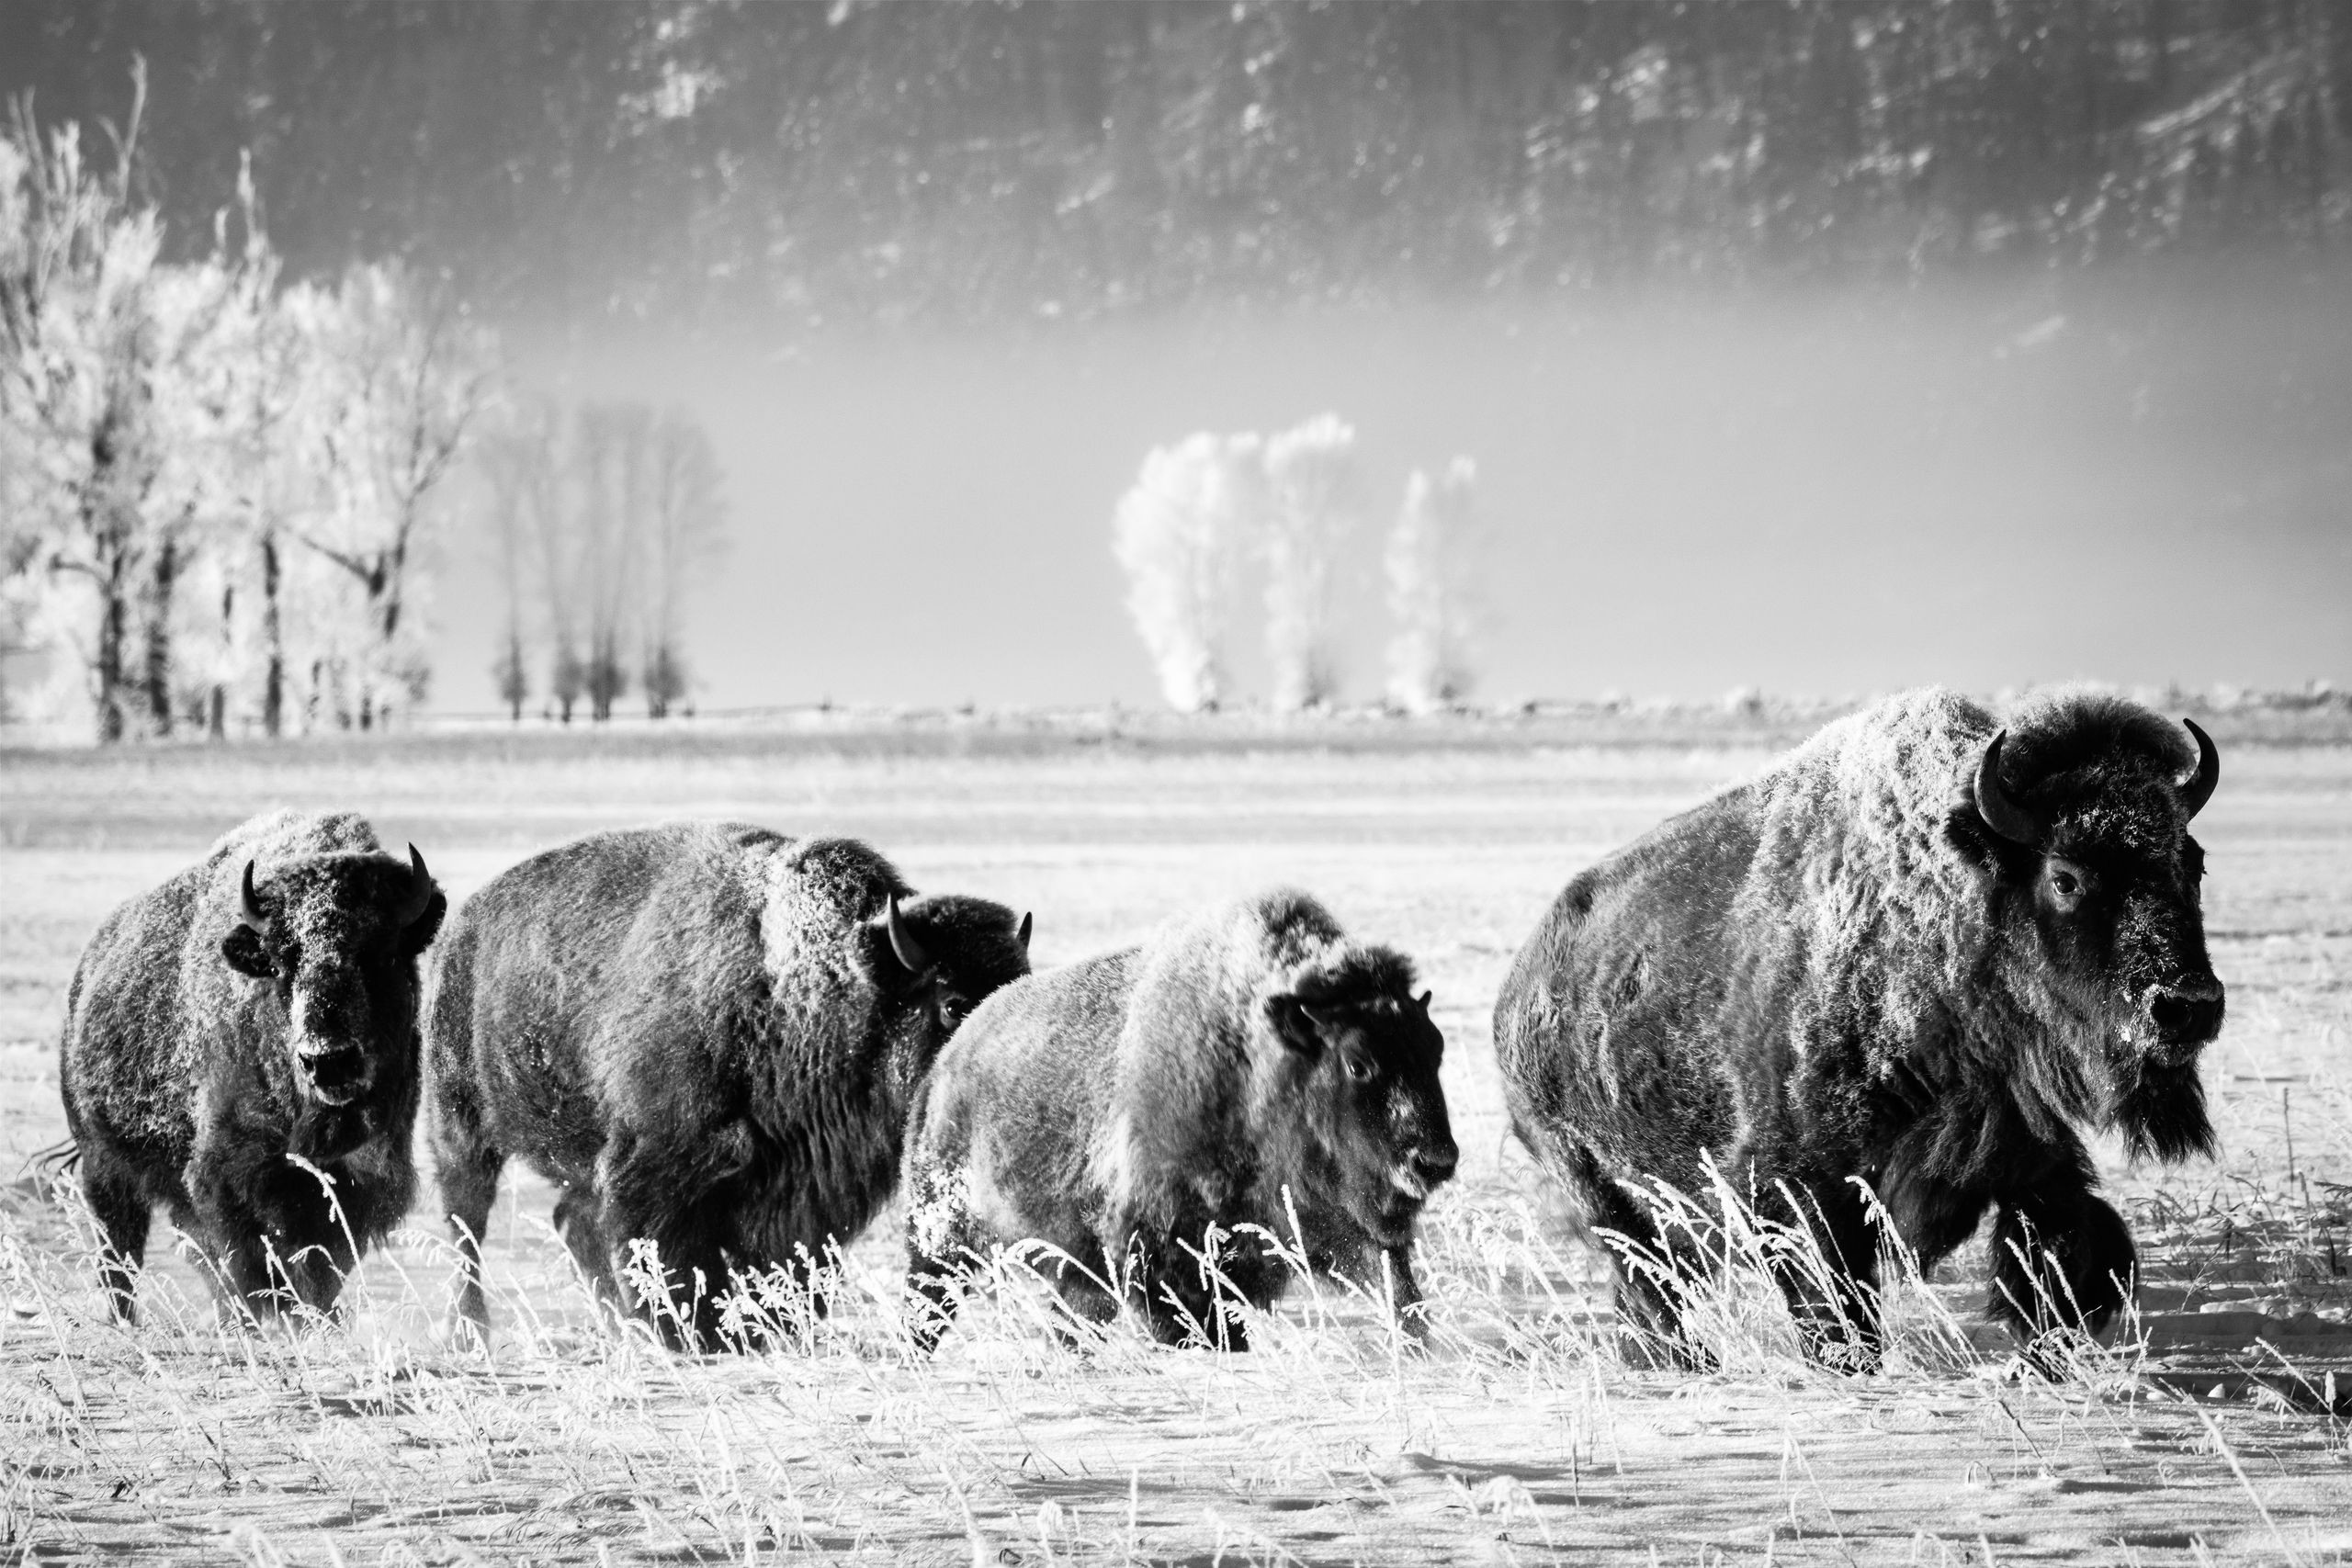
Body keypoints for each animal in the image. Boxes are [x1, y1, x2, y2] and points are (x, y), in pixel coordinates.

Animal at [57, 818, 451, 1316]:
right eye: (281, 964)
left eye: (384, 954)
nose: (328, 1059)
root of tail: (87, 972)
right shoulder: (229, 1182)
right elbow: (249, 1265)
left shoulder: (358, 1185)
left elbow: (319, 1271)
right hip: (104, 1168)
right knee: (120, 1257)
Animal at [423, 822, 1030, 1354]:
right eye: (952, 1004)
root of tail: (462, 929)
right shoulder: (659, 1172)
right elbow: (671, 1259)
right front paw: (694, 1337)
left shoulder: (804, 1195)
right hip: (460, 1129)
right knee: (467, 1228)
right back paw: (469, 1335)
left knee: (570, 1223)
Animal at [908, 888, 1458, 1354]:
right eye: (1357, 1062)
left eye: (1435, 1050)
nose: (1435, 1161)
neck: (1257, 1067)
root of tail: (949, 1062)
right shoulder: (1165, 1260)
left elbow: (1400, 1295)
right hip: (943, 1237)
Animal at [1486, 691, 2220, 1363]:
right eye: (2065, 876)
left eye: (2192, 862)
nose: (2187, 1004)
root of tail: (1517, 992)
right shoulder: (1806, 1184)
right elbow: (1834, 1297)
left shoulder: (2019, 1140)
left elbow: (2061, 1239)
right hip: (1603, 1190)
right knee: (1648, 1283)